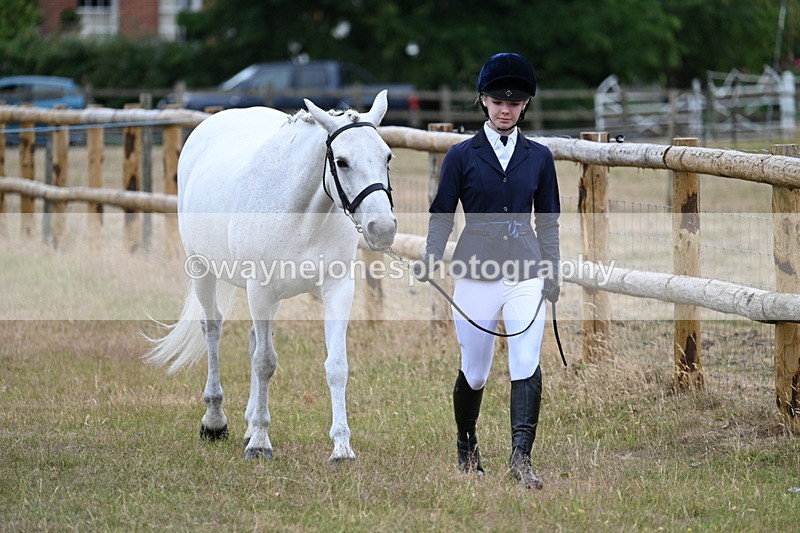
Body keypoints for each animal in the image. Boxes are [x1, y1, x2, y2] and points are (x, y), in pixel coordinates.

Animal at [145, 91, 397, 461]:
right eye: (342, 161)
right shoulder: (259, 290)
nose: (383, 228)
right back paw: (215, 421)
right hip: (202, 269)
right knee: (213, 328)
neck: (302, 216)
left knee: (252, 339)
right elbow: (265, 362)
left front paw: (341, 447)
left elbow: (336, 366)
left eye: (387, 156)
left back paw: (250, 424)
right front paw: (261, 444)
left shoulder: (337, 290)